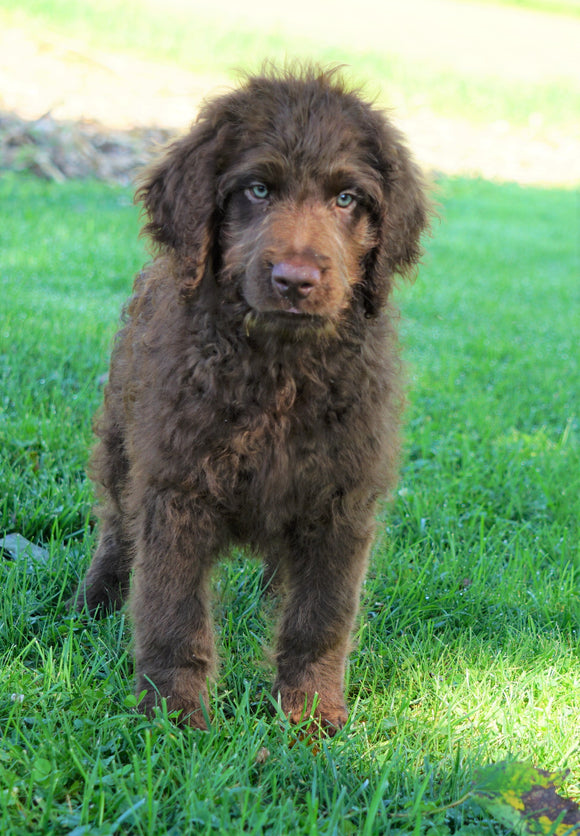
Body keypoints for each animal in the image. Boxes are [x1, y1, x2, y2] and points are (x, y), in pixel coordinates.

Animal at [73, 67, 430, 732]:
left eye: (347, 200)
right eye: (258, 190)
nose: (295, 280)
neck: (280, 370)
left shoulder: (342, 503)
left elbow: (320, 618)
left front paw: (311, 717)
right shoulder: (176, 490)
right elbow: (173, 613)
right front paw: (175, 717)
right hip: (120, 444)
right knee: (116, 530)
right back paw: (94, 602)